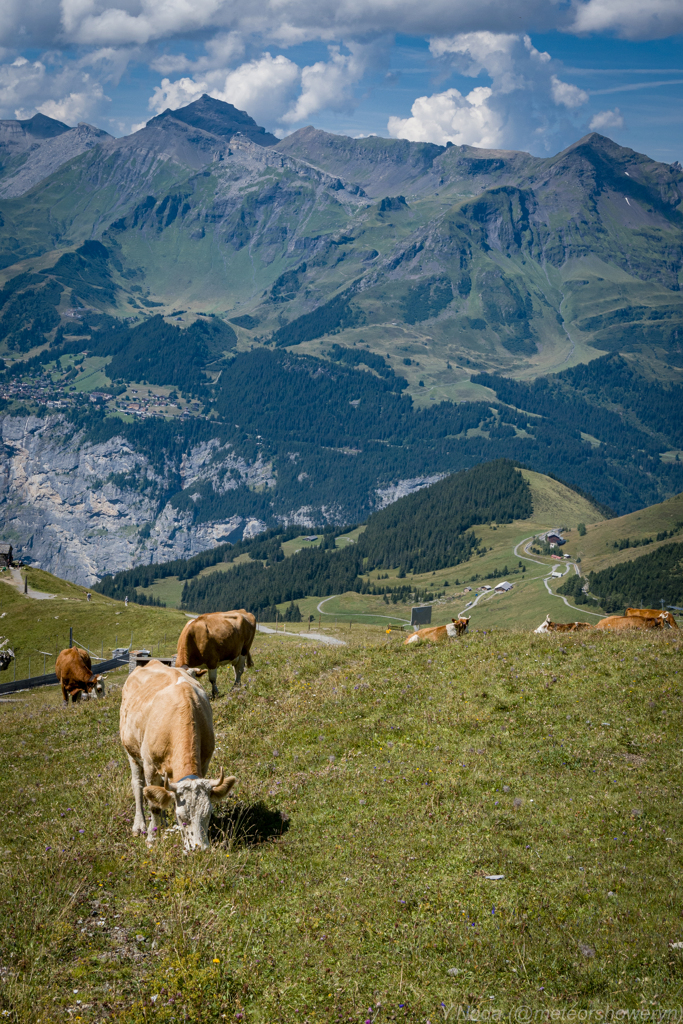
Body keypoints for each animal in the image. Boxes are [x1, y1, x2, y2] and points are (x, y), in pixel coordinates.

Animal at [118, 659, 235, 851]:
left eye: (209, 814)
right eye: (181, 817)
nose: (199, 849)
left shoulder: (204, 762)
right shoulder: (150, 766)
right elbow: (153, 805)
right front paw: (151, 837)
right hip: (131, 751)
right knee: (138, 786)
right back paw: (140, 825)